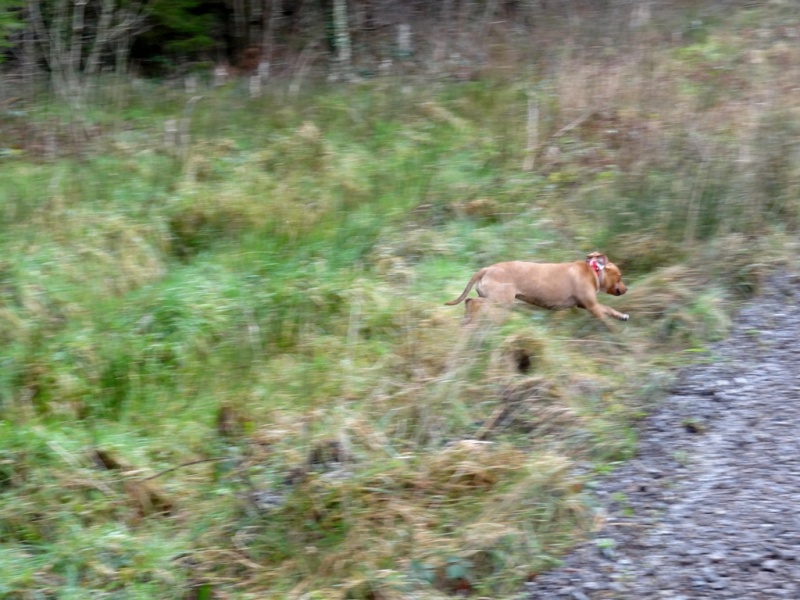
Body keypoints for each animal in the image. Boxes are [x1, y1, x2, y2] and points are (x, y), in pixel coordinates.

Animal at [446, 251, 628, 322]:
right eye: (620, 276)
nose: (626, 289)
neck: (593, 270)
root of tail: (487, 269)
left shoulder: (586, 304)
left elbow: (609, 309)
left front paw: (622, 316)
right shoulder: (592, 306)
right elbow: (606, 314)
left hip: (494, 299)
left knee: (471, 302)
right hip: (501, 301)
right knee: (471, 301)